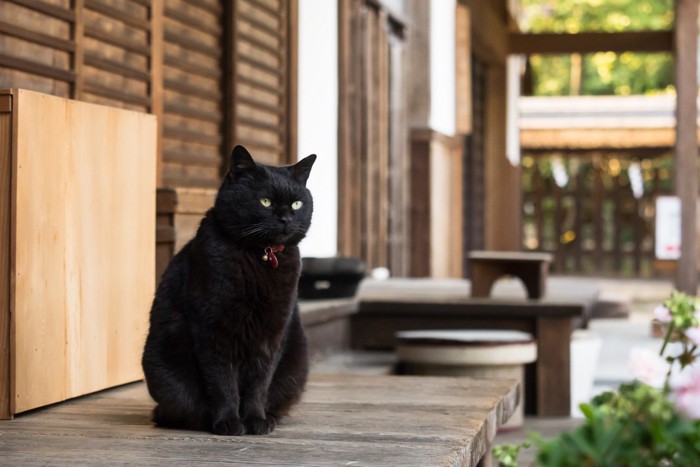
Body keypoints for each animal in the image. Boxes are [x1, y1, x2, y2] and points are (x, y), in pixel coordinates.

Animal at [142, 145, 318, 436]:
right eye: (265, 202)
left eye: (297, 204)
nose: (285, 219)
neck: (260, 256)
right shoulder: (213, 329)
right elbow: (223, 382)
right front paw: (229, 423)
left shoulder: (271, 334)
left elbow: (259, 383)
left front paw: (256, 420)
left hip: (295, 370)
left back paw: (270, 418)